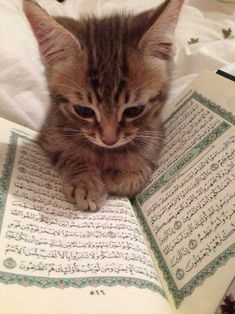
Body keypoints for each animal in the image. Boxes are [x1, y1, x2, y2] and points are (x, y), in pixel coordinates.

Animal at [23, 0, 185, 211]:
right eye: (83, 110)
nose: (109, 140)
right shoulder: (50, 133)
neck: (106, 152)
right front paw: (85, 182)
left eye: (134, 110)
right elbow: (70, 154)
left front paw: (126, 174)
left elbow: (144, 156)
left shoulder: (155, 130)